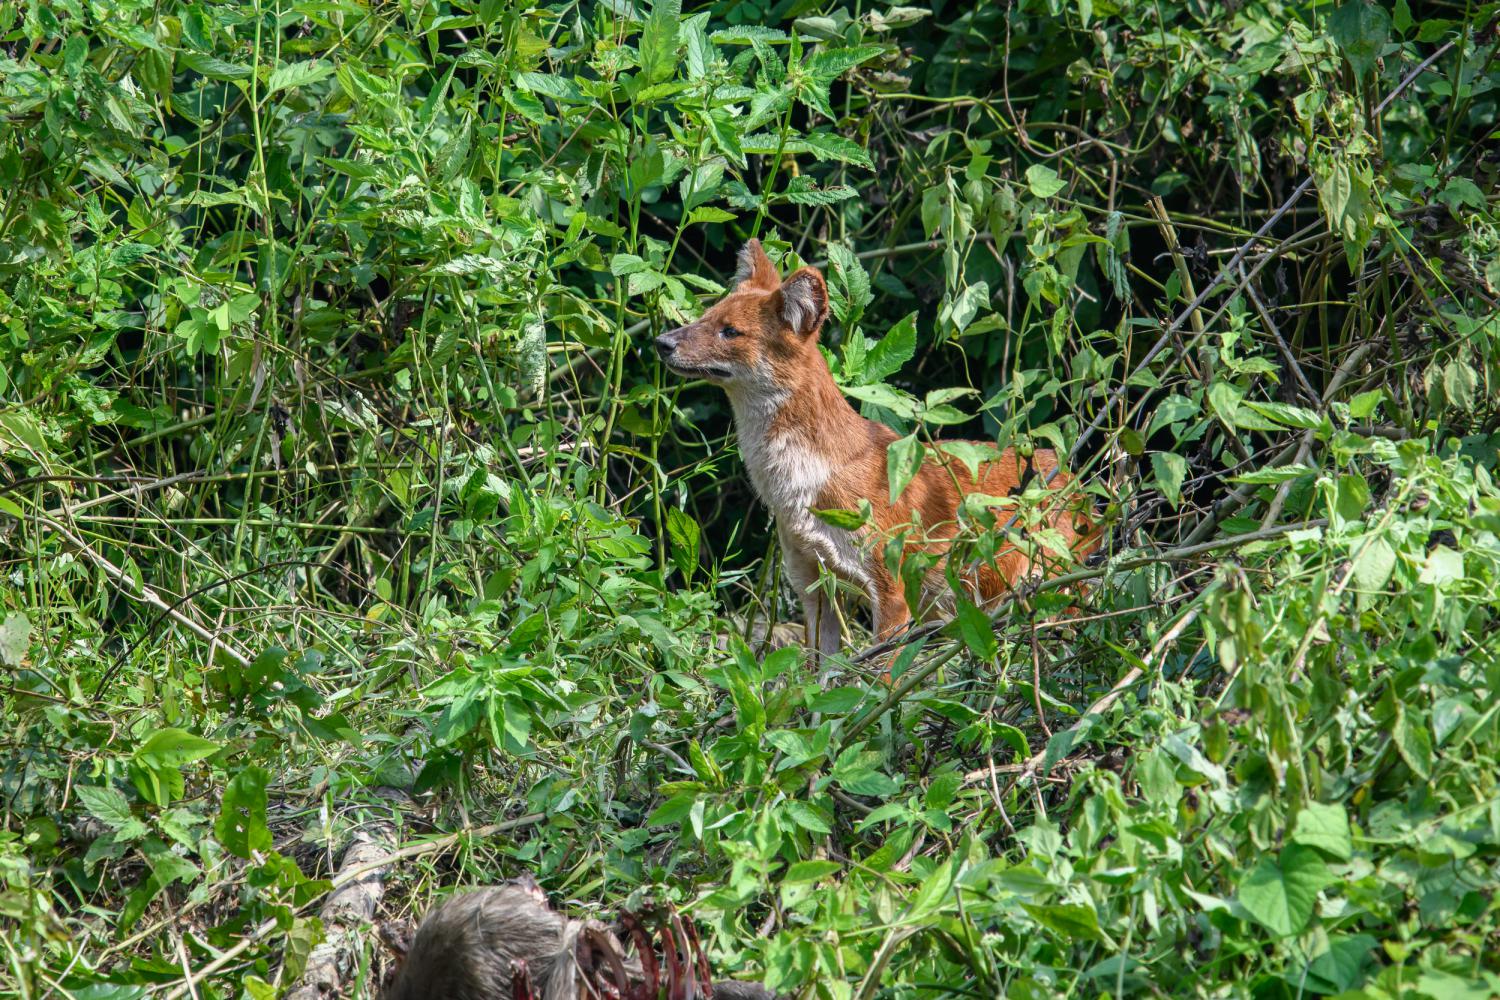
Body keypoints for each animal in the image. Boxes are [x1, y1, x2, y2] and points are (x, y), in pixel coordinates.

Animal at [654, 241, 1092, 659]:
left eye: (730, 331)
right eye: (706, 317)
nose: (661, 341)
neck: (803, 482)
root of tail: (1074, 478)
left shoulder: (891, 593)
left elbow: (881, 678)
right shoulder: (814, 587)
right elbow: (820, 677)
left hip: (1051, 595)